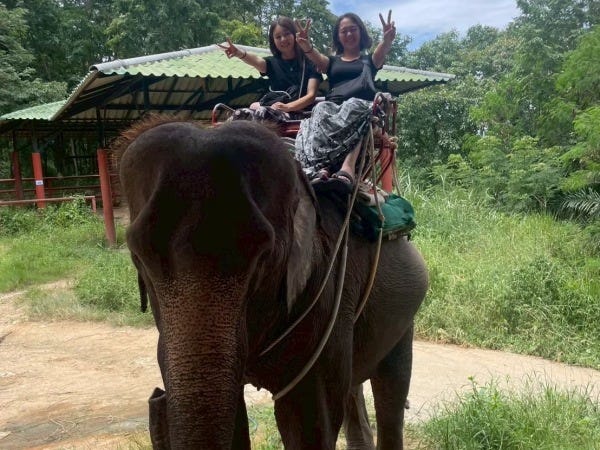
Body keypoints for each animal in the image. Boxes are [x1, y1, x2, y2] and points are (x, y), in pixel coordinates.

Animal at [117, 117, 428, 449]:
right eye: (138, 257)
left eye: (265, 257)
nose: (157, 396)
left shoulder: (326, 297)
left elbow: (309, 421)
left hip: (404, 313)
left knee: (391, 391)